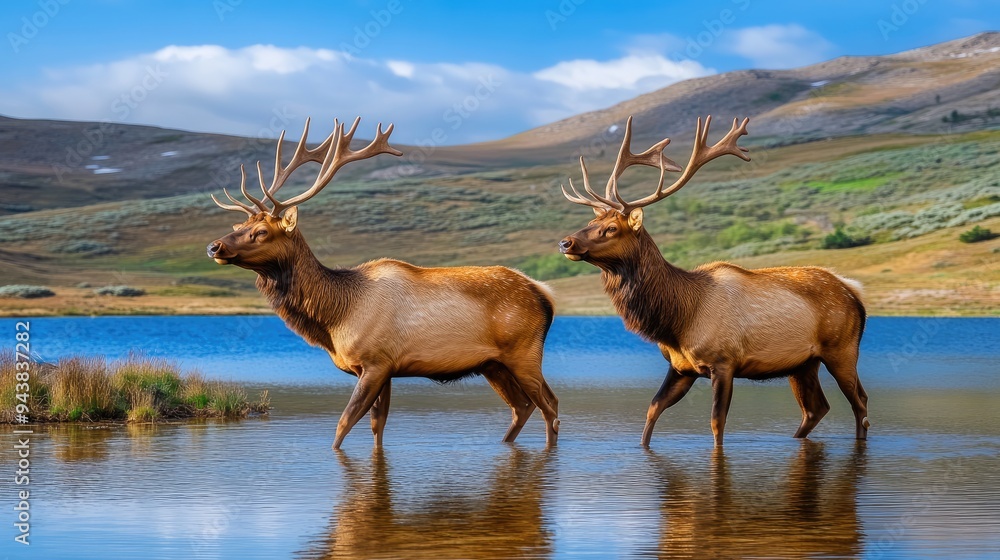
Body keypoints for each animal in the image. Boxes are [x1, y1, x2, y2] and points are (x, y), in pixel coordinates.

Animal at [206, 117, 560, 449]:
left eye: (261, 232)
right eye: (238, 226)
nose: (214, 246)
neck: (335, 318)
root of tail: (544, 293)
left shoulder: (376, 362)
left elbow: (344, 423)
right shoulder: (384, 369)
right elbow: (377, 427)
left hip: (524, 352)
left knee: (550, 406)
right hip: (492, 364)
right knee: (522, 406)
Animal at [558, 115, 869, 447]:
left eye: (612, 228)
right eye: (591, 221)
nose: (566, 242)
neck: (677, 320)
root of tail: (854, 293)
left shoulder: (724, 362)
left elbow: (716, 423)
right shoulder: (681, 367)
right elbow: (652, 410)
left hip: (842, 349)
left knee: (860, 403)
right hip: (802, 364)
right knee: (816, 408)